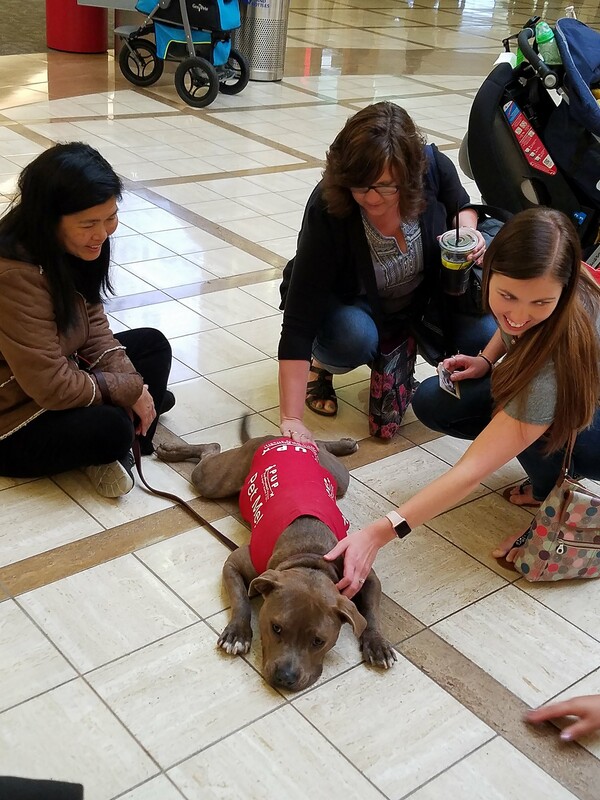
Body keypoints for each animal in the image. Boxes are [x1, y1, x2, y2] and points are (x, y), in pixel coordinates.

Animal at [157, 428, 396, 692]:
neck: (309, 558)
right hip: (213, 480)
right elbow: (240, 599)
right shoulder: (234, 564)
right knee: (211, 449)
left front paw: (377, 643)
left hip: (339, 477)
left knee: (317, 444)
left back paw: (340, 444)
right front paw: (237, 634)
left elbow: (372, 611)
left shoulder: (364, 572)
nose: (285, 677)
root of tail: (279, 437)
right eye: (276, 627)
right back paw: (170, 450)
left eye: (318, 641)